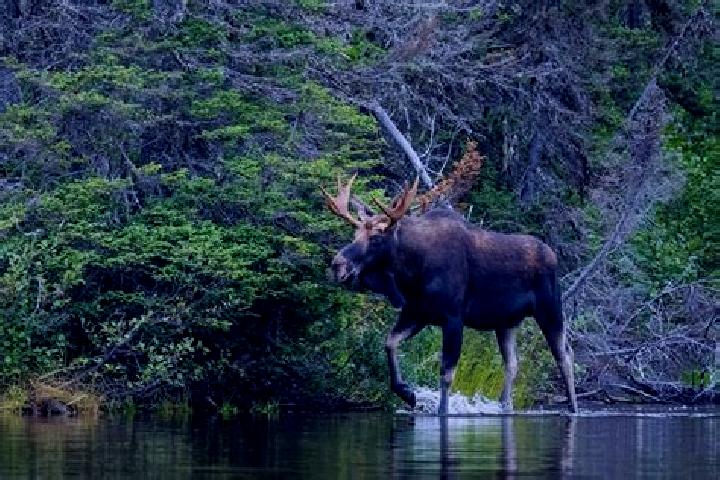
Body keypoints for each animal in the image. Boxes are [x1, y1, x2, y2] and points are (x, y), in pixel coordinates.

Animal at [321, 174, 578, 415]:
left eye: (375, 237)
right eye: (354, 235)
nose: (337, 265)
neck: (411, 272)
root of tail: (552, 254)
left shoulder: (453, 317)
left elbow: (446, 372)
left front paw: (440, 410)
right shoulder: (416, 313)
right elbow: (390, 343)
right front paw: (407, 393)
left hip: (550, 308)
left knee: (564, 355)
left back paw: (573, 407)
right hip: (505, 322)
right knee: (512, 363)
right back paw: (505, 406)